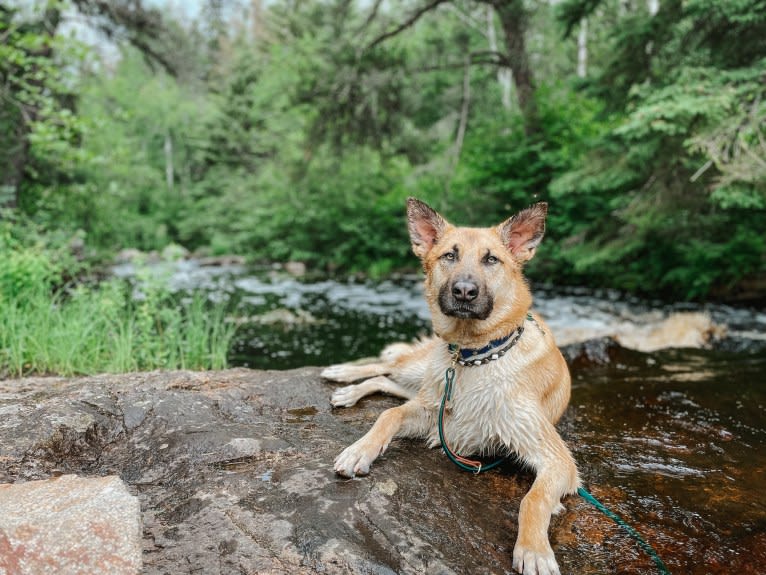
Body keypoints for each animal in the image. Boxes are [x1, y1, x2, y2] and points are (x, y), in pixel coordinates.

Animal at [324, 199, 584, 575]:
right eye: (450, 255)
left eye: (491, 259)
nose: (464, 291)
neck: (472, 357)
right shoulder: (436, 416)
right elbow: (388, 416)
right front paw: (359, 450)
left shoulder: (557, 460)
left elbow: (533, 498)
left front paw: (534, 549)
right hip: (423, 371)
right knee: (387, 369)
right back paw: (344, 377)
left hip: (426, 383)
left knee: (388, 382)